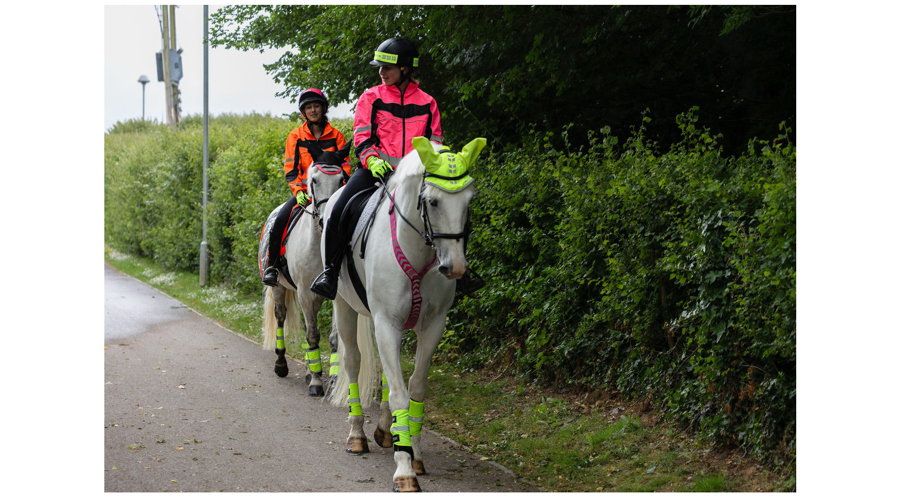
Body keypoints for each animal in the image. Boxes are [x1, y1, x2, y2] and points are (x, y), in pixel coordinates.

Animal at [261, 143, 351, 396]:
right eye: (314, 179)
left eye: (342, 179)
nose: (327, 219)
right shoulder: (303, 293)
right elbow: (312, 333)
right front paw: (317, 382)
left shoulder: (334, 294)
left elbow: (334, 339)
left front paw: (331, 379)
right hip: (279, 287)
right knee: (280, 316)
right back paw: (281, 364)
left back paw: (311, 369)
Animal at [325, 136, 487, 492]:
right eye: (433, 201)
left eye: (469, 200)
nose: (455, 267)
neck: (418, 250)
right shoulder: (387, 323)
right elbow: (399, 392)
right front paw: (404, 469)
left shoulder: (432, 326)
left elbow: (415, 388)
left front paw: (413, 450)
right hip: (344, 306)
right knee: (353, 362)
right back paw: (357, 436)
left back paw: (387, 432)